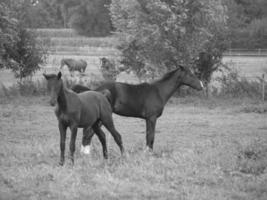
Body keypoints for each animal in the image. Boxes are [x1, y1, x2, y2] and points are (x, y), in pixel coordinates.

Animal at [71, 65, 203, 152]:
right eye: (190, 74)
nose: (201, 86)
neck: (159, 91)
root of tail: (95, 91)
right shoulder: (152, 118)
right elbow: (151, 136)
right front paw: (148, 153)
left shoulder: (148, 119)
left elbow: (148, 136)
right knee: (88, 133)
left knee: (88, 134)